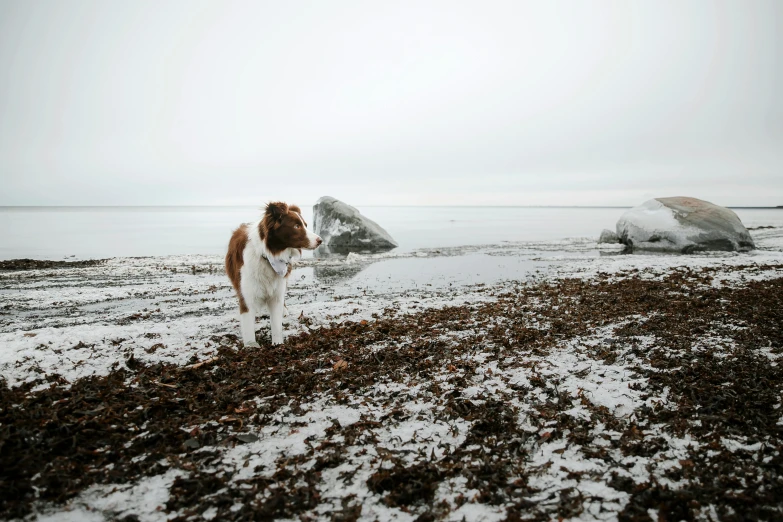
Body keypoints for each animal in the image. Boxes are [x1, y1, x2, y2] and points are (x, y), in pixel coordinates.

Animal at [225, 203, 324, 346]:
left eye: (305, 225)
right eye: (296, 226)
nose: (320, 240)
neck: (268, 256)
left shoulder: (277, 294)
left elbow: (276, 325)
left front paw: (278, 344)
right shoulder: (247, 296)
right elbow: (248, 329)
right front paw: (251, 346)